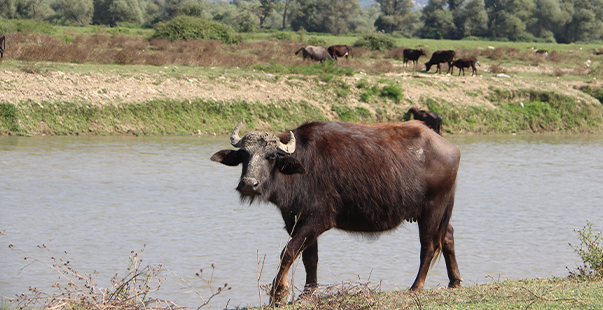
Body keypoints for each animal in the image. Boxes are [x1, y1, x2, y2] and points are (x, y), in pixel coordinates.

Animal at [211, 120, 462, 306]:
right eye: (244, 155)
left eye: (271, 156)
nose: (248, 184)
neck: (301, 168)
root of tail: (451, 148)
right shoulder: (296, 220)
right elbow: (309, 258)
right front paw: (307, 293)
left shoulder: (317, 220)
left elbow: (288, 252)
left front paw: (278, 293)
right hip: (438, 212)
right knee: (448, 235)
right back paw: (455, 281)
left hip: (432, 209)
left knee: (429, 246)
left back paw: (416, 287)